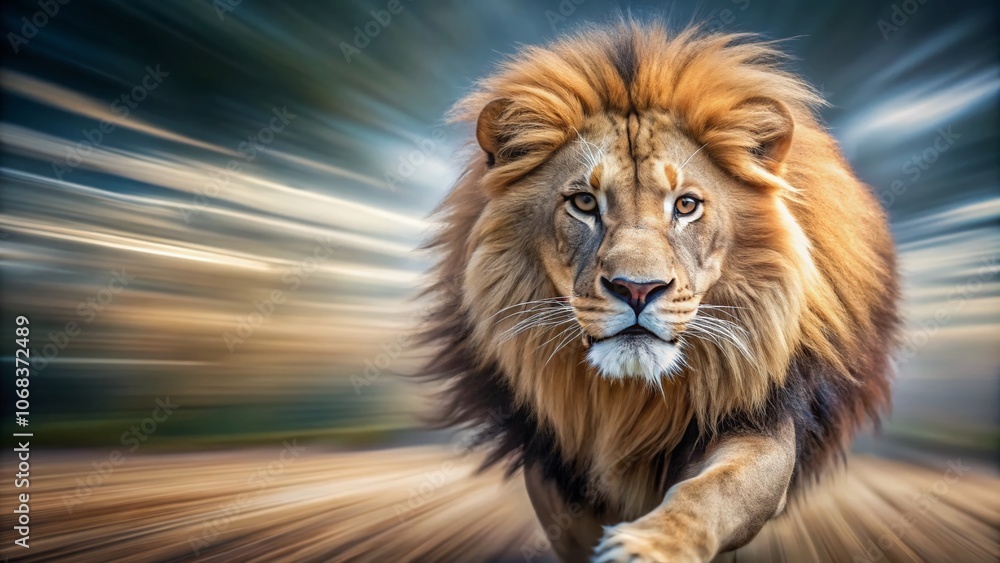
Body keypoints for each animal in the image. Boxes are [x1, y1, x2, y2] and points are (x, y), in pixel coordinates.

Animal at [419, 21, 898, 562]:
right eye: (584, 202)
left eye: (686, 205)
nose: (637, 289)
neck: (630, 399)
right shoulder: (552, 467)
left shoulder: (761, 422)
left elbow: (715, 491)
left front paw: (648, 546)